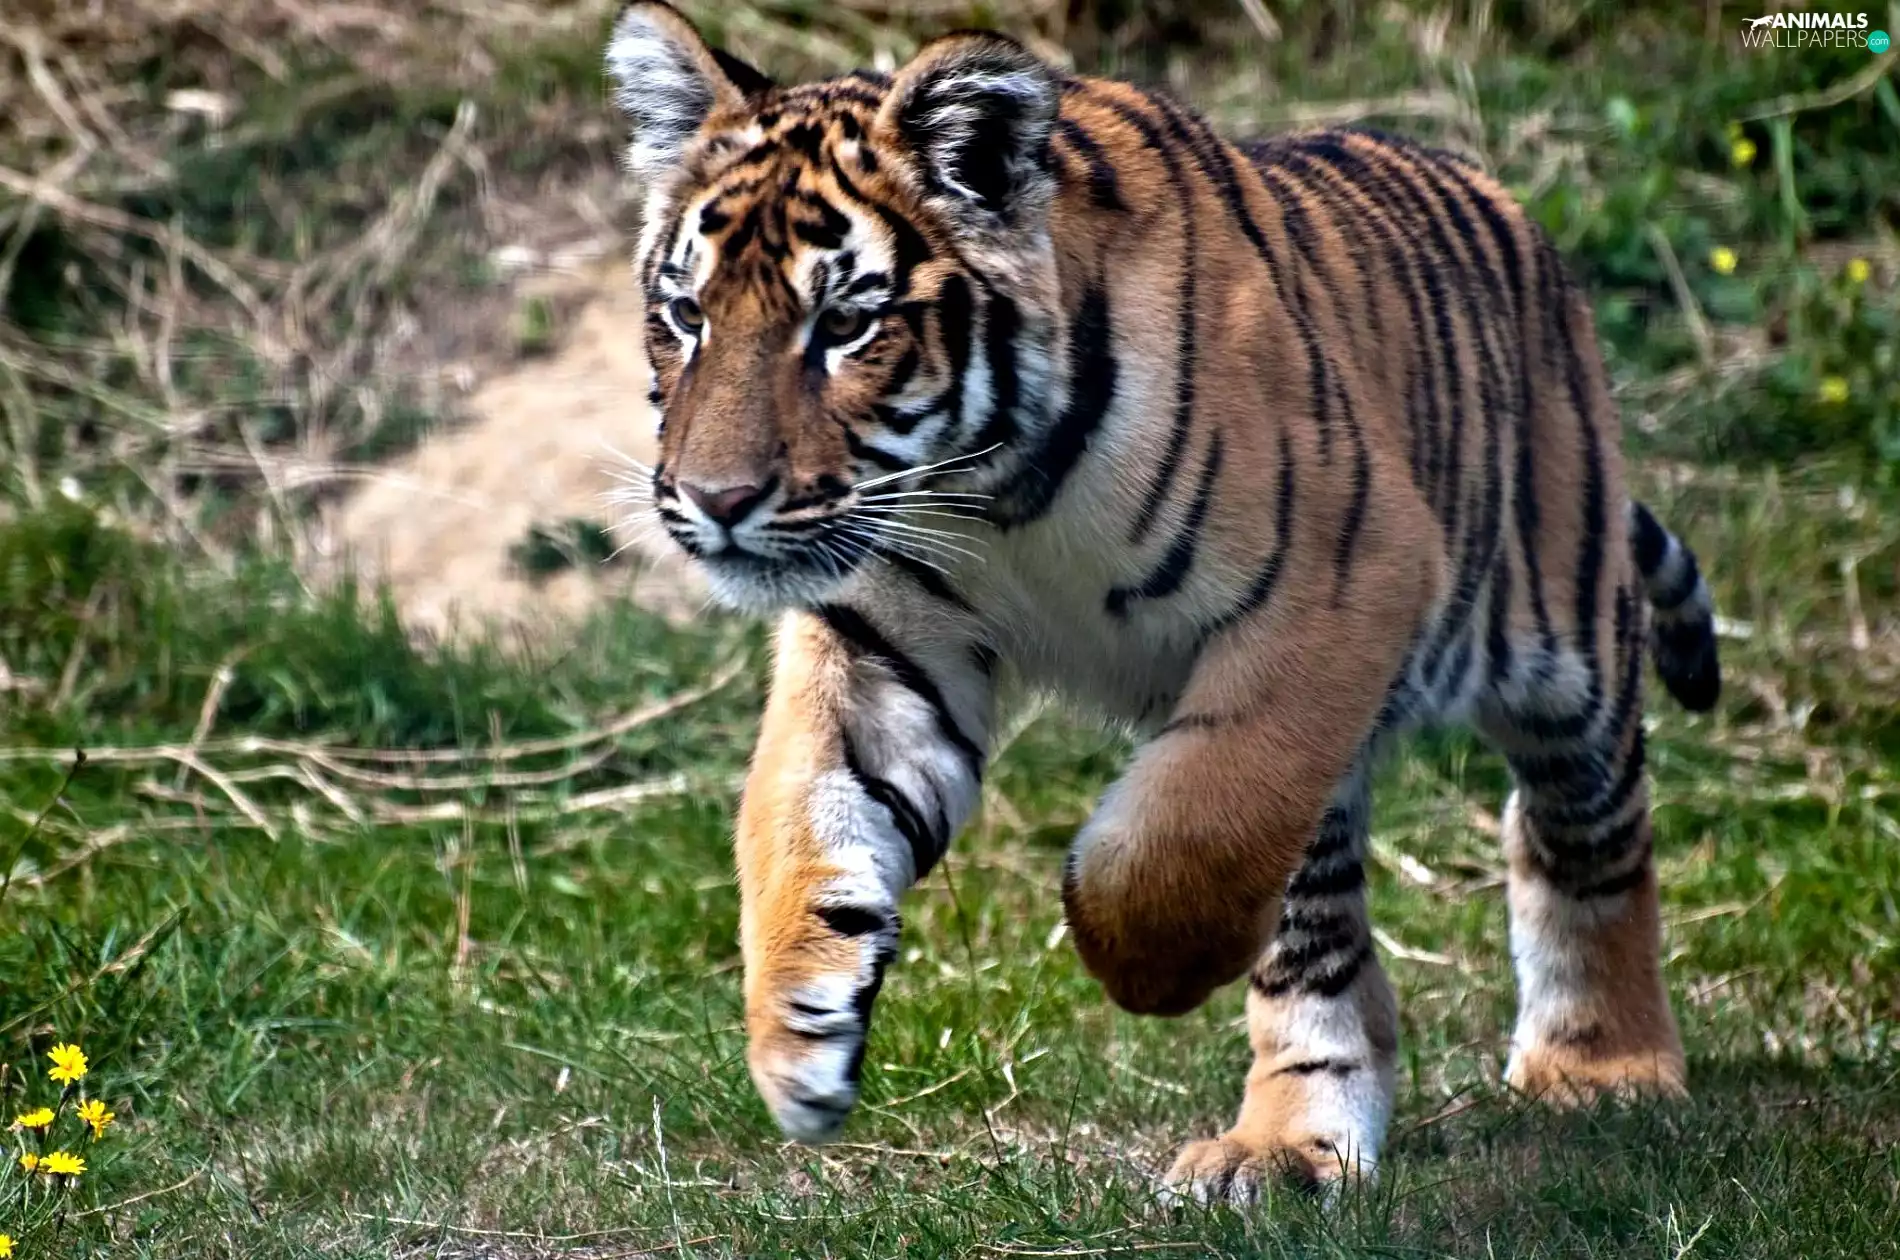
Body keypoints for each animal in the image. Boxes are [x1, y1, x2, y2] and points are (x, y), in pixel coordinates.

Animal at [604, 1, 1722, 1201]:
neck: (991, 492)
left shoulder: (1347, 578)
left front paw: (1136, 966)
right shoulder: (878, 635)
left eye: (847, 326)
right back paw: (1287, 1144)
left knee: (1580, 834)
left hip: (1561, 639)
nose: (716, 501)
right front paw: (794, 1038)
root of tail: (1510, 212)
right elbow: (799, 817)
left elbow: (1183, 832)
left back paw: (1603, 1068)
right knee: (1326, 945)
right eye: (686, 315)